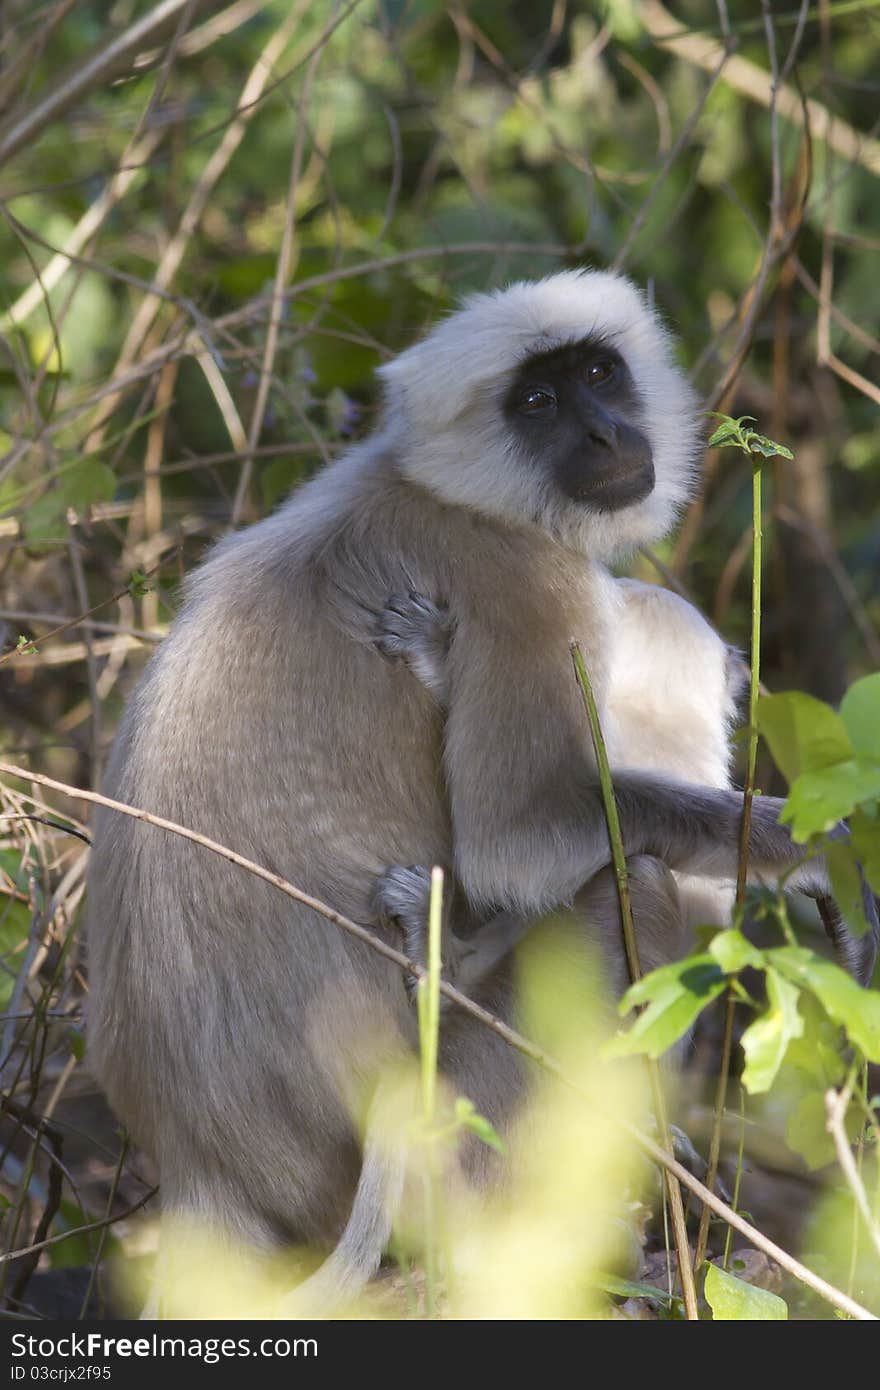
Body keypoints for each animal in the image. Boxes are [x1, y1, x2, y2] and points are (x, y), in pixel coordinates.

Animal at [85, 271, 873, 1312]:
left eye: (597, 375)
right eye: (535, 403)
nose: (604, 435)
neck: (441, 488)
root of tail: (198, 1166)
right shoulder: (522, 586)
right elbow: (520, 840)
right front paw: (821, 854)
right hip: (459, 1137)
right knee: (639, 885)